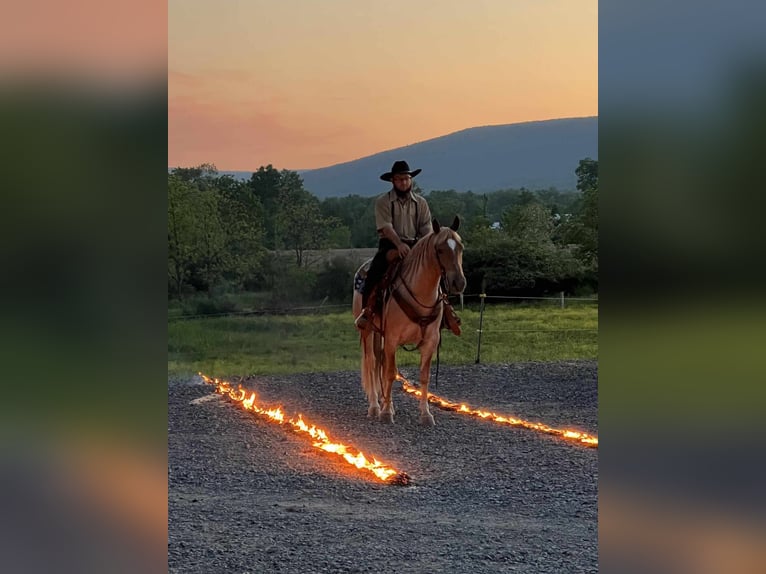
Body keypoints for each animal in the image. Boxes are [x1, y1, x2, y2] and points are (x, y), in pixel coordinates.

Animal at [354, 218, 468, 426]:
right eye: (440, 249)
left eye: (460, 247)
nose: (459, 283)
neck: (419, 292)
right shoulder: (392, 338)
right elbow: (390, 373)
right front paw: (385, 413)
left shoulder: (430, 341)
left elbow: (424, 376)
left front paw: (426, 414)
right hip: (367, 331)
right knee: (372, 363)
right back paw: (375, 407)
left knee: (380, 364)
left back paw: (387, 404)